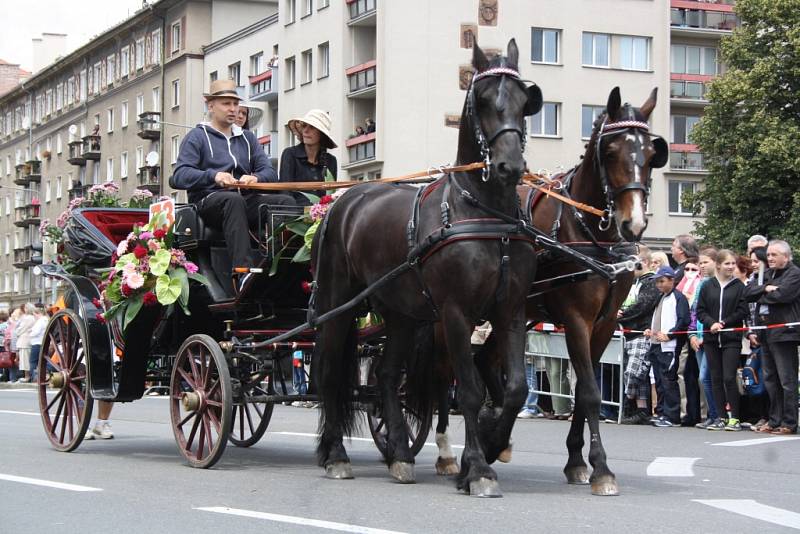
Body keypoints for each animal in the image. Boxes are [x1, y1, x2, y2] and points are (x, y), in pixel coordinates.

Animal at [312, 40, 544, 498]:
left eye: (524, 102)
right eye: (483, 100)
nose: (510, 166)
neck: (486, 217)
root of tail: (342, 203)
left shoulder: (511, 312)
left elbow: (515, 388)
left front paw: (492, 442)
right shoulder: (456, 314)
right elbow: (469, 390)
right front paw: (478, 468)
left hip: (400, 314)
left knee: (386, 376)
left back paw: (400, 455)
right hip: (339, 304)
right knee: (330, 373)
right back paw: (336, 456)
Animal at [434, 88, 664, 498]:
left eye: (652, 154)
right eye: (610, 152)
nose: (634, 223)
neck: (588, 231)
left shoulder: (604, 324)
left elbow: (583, 391)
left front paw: (577, 461)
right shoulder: (576, 319)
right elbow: (588, 392)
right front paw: (600, 468)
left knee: (486, 364)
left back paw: (495, 436)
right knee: (444, 375)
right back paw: (452, 450)